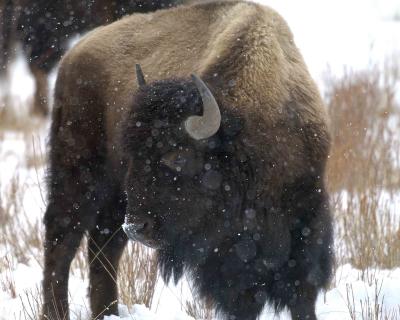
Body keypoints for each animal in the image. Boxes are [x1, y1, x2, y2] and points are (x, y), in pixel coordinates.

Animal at [42, 1, 332, 318]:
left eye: (178, 157)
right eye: (134, 155)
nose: (137, 228)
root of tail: (73, 55)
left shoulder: (306, 219)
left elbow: (302, 291)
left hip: (115, 199)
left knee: (104, 246)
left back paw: (108, 311)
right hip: (78, 176)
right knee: (62, 240)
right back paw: (55, 311)